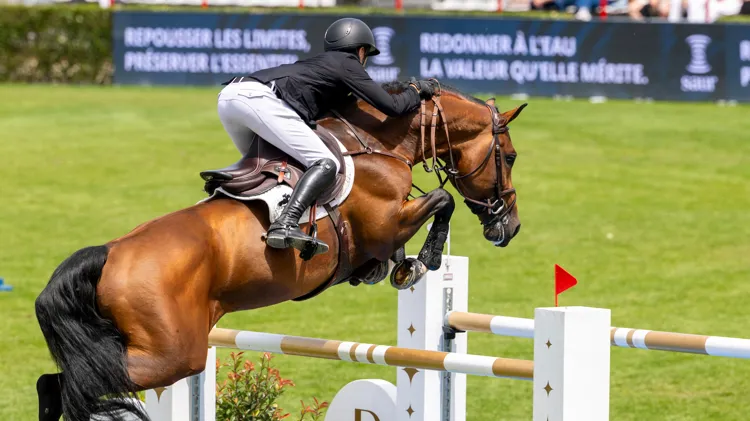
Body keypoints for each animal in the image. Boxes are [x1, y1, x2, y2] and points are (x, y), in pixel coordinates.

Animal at [34, 80, 526, 421]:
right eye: (510, 156)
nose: (510, 227)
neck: (379, 145)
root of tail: (107, 255)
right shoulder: (384, 223)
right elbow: (441, 202)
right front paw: (422, 263)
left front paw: (396, 266)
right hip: (170, 355)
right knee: (66, 384)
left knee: (56, 386)